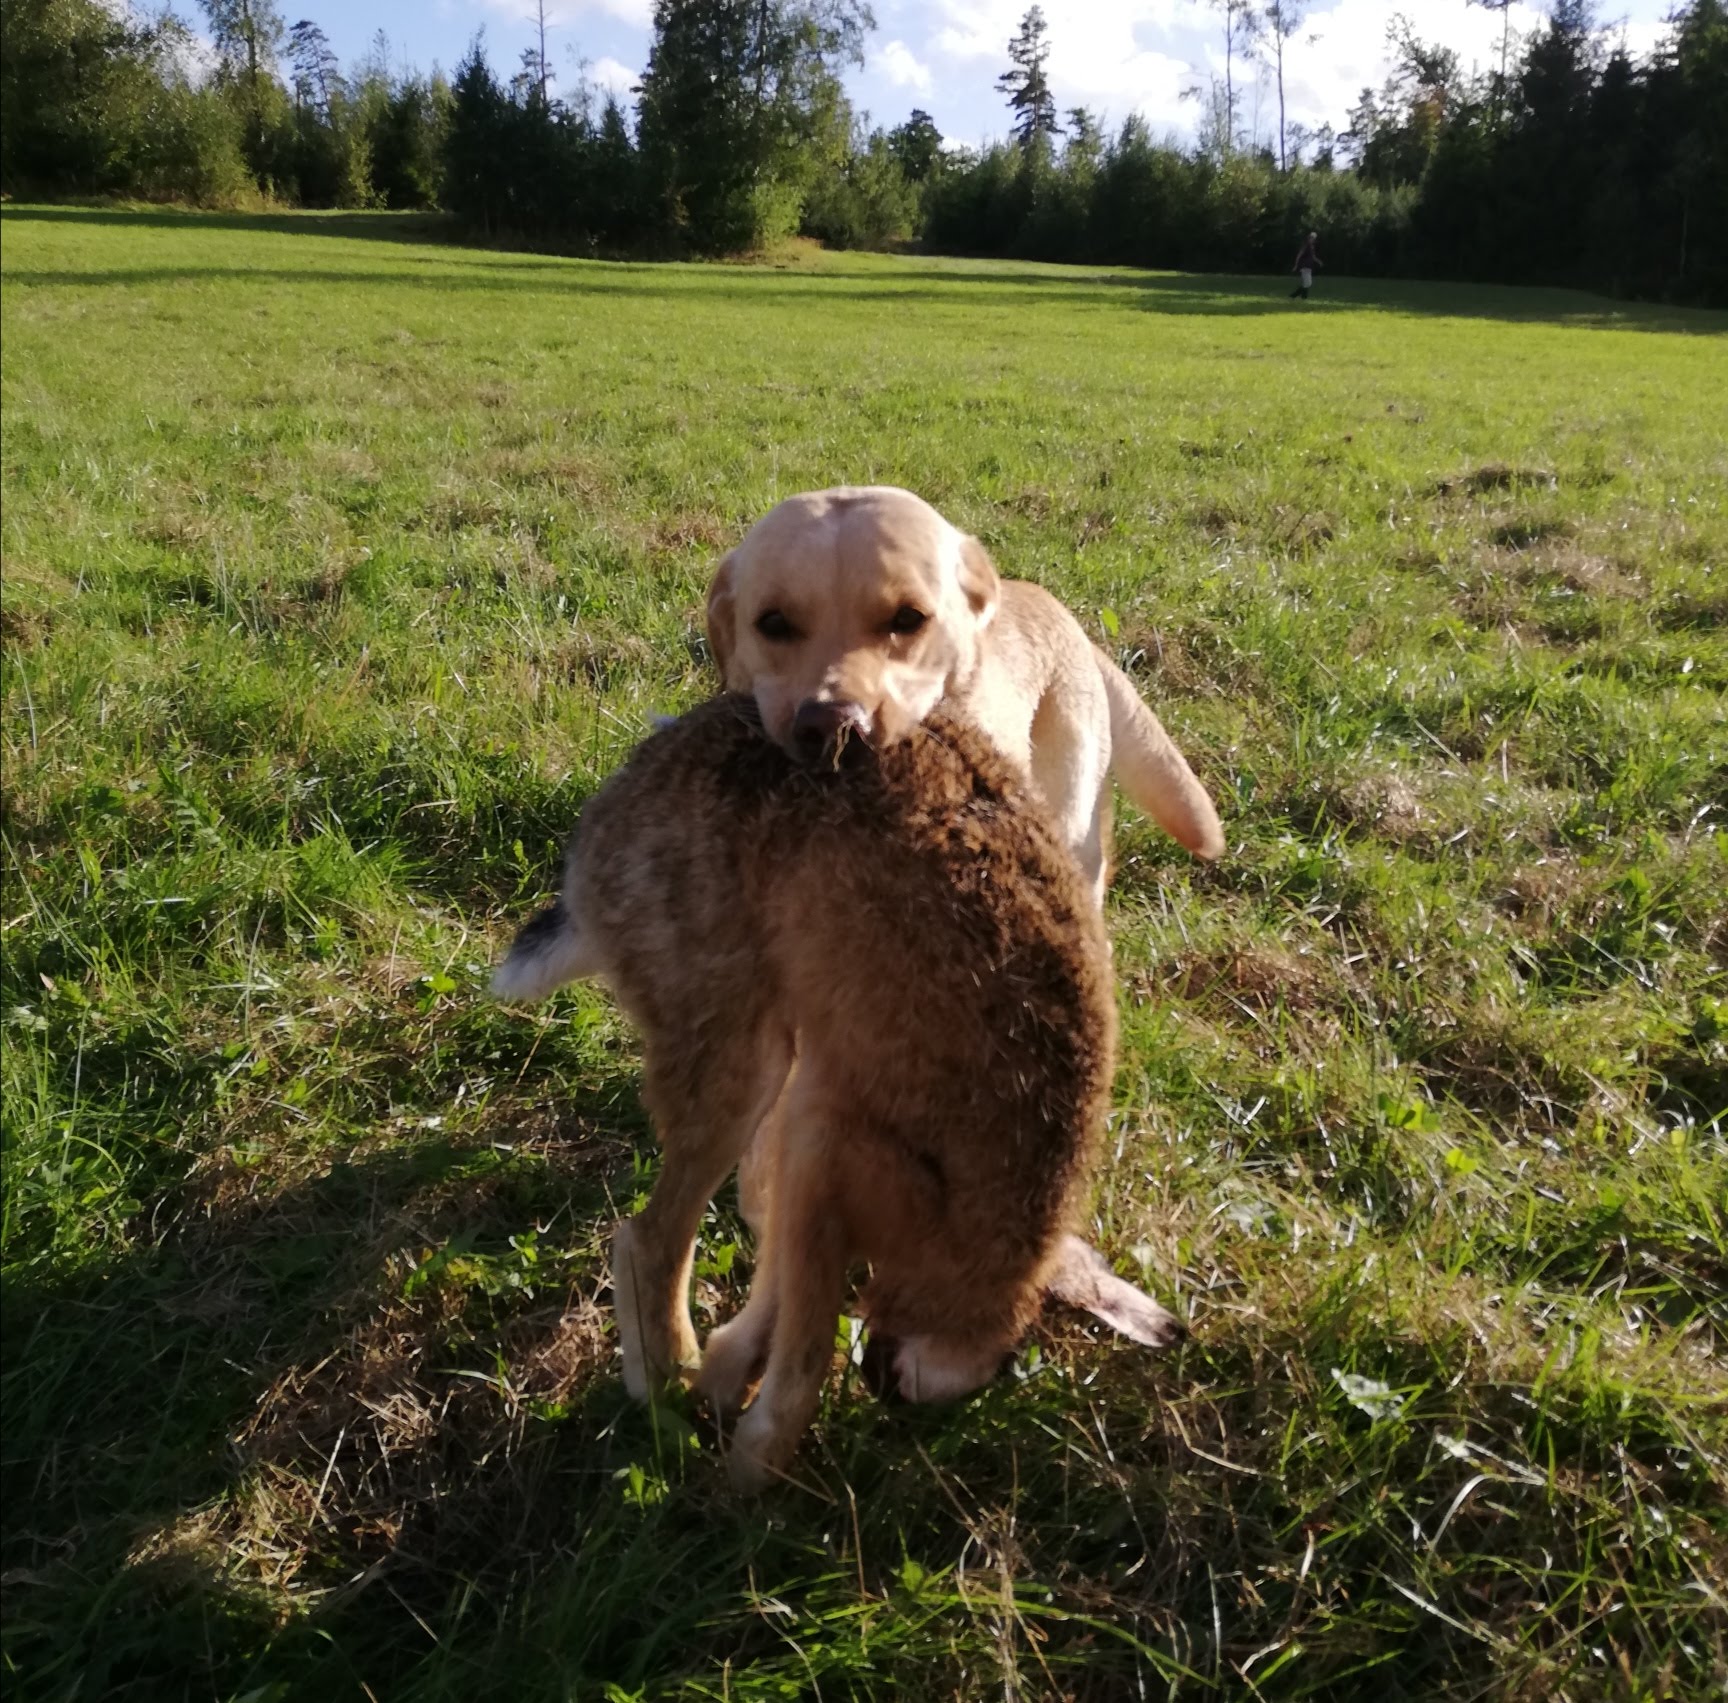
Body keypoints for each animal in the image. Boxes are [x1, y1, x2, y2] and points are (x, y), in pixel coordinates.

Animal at [493, 696, 1183, 1491]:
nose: (886, 1390)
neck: (977, 1230)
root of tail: (600, 840)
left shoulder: (807, 1153)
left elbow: (779, 1295)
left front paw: (730, 1387)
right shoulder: (834, 1149)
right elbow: (807, 1343)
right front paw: (752, 1468)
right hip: (735, 1053)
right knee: (650, 1238)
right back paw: (667, 1392)